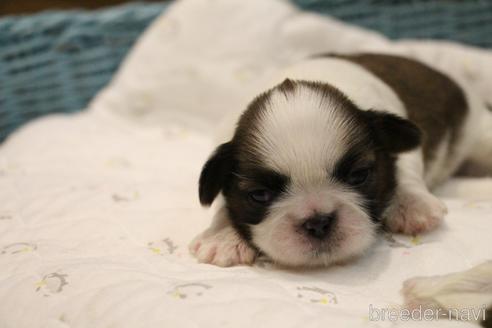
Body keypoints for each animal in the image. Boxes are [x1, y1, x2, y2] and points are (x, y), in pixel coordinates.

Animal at [189, 53, 492, 268]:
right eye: (260, 195)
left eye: (358, 176)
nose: (318, 222)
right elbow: (224, 203)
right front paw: (223, 235)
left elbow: (404, 167)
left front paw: (411, 204)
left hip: (480, 133)